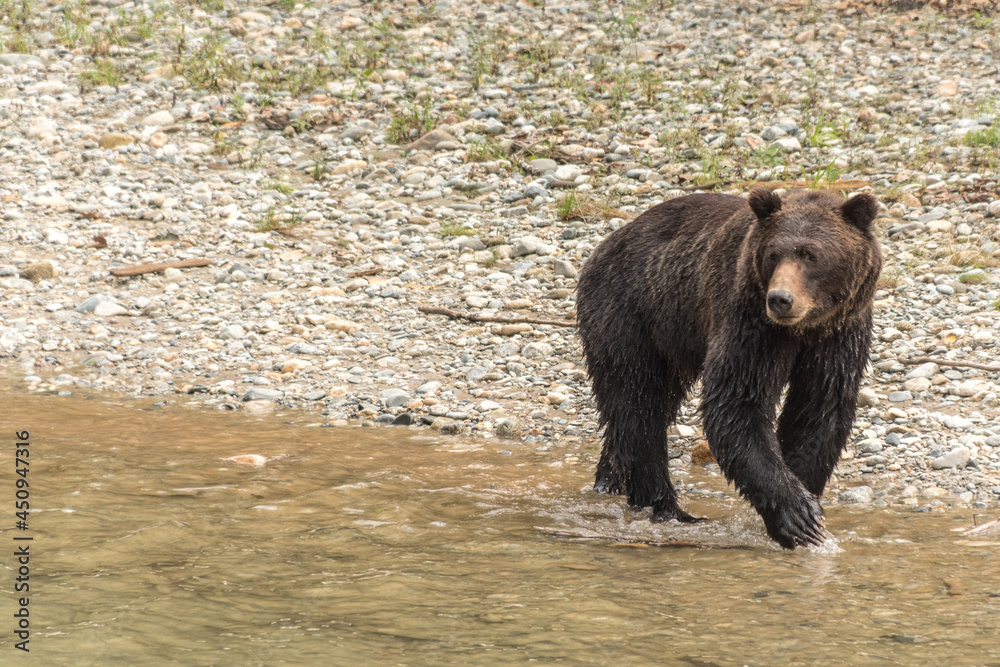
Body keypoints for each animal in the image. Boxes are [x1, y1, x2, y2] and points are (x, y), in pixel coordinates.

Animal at [575, 188, 881, 549]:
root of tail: (605, 244)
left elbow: (820, 409)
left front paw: (805, 499)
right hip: (631, 313)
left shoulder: (840, 334)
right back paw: (666, 507)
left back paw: (609, 480)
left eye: (811, 254)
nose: (781, 299)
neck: (802, 329)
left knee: (643, 408)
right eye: (773, 254)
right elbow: (737, 404)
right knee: (638, 404)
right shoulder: (749, 320)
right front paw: (799, 517)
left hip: (671, 336)